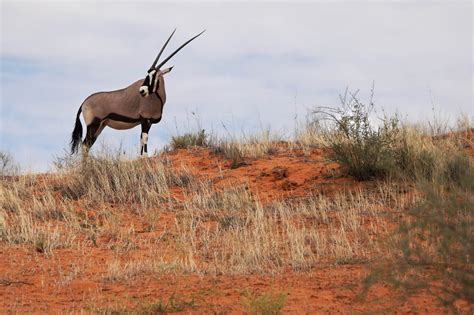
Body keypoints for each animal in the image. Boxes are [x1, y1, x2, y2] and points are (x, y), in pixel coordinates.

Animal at [71, 30, 205, 156]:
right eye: (148, 74)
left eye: (154, 75)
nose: (142, 90)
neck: (157, 97)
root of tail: (84, 103)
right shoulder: (145, 120)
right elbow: (144, 138)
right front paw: (145, 157)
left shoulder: (147, 122)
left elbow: (141, 139)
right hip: (93, 125)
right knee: (85, 145)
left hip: (100, 126)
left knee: (88, 145)